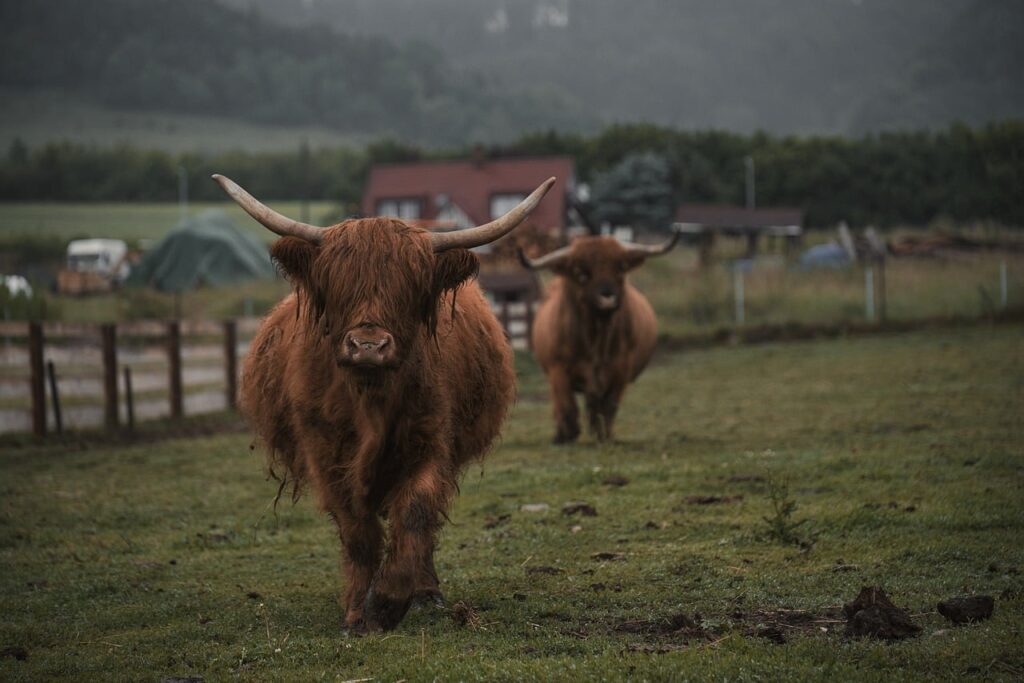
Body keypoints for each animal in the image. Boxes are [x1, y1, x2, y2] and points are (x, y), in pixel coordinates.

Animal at [213, 173, 555, 632]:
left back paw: (426, 592)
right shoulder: (325, 455)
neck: (370, 399)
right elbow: (358, 533)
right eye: (337, 284)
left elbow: (415, 512)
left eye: (409, 287)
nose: (368, 346)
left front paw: (390, 601)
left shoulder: (431, 445)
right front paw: (359, 612)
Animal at [520, 232, 679, 443]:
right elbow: (567, 406)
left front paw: (605, 437)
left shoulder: (620, 370)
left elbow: (609, 406)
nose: (607, 296)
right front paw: (567, 434)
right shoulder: (558, 369)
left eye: (620, 267)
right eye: (580, 272)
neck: (596, 341)